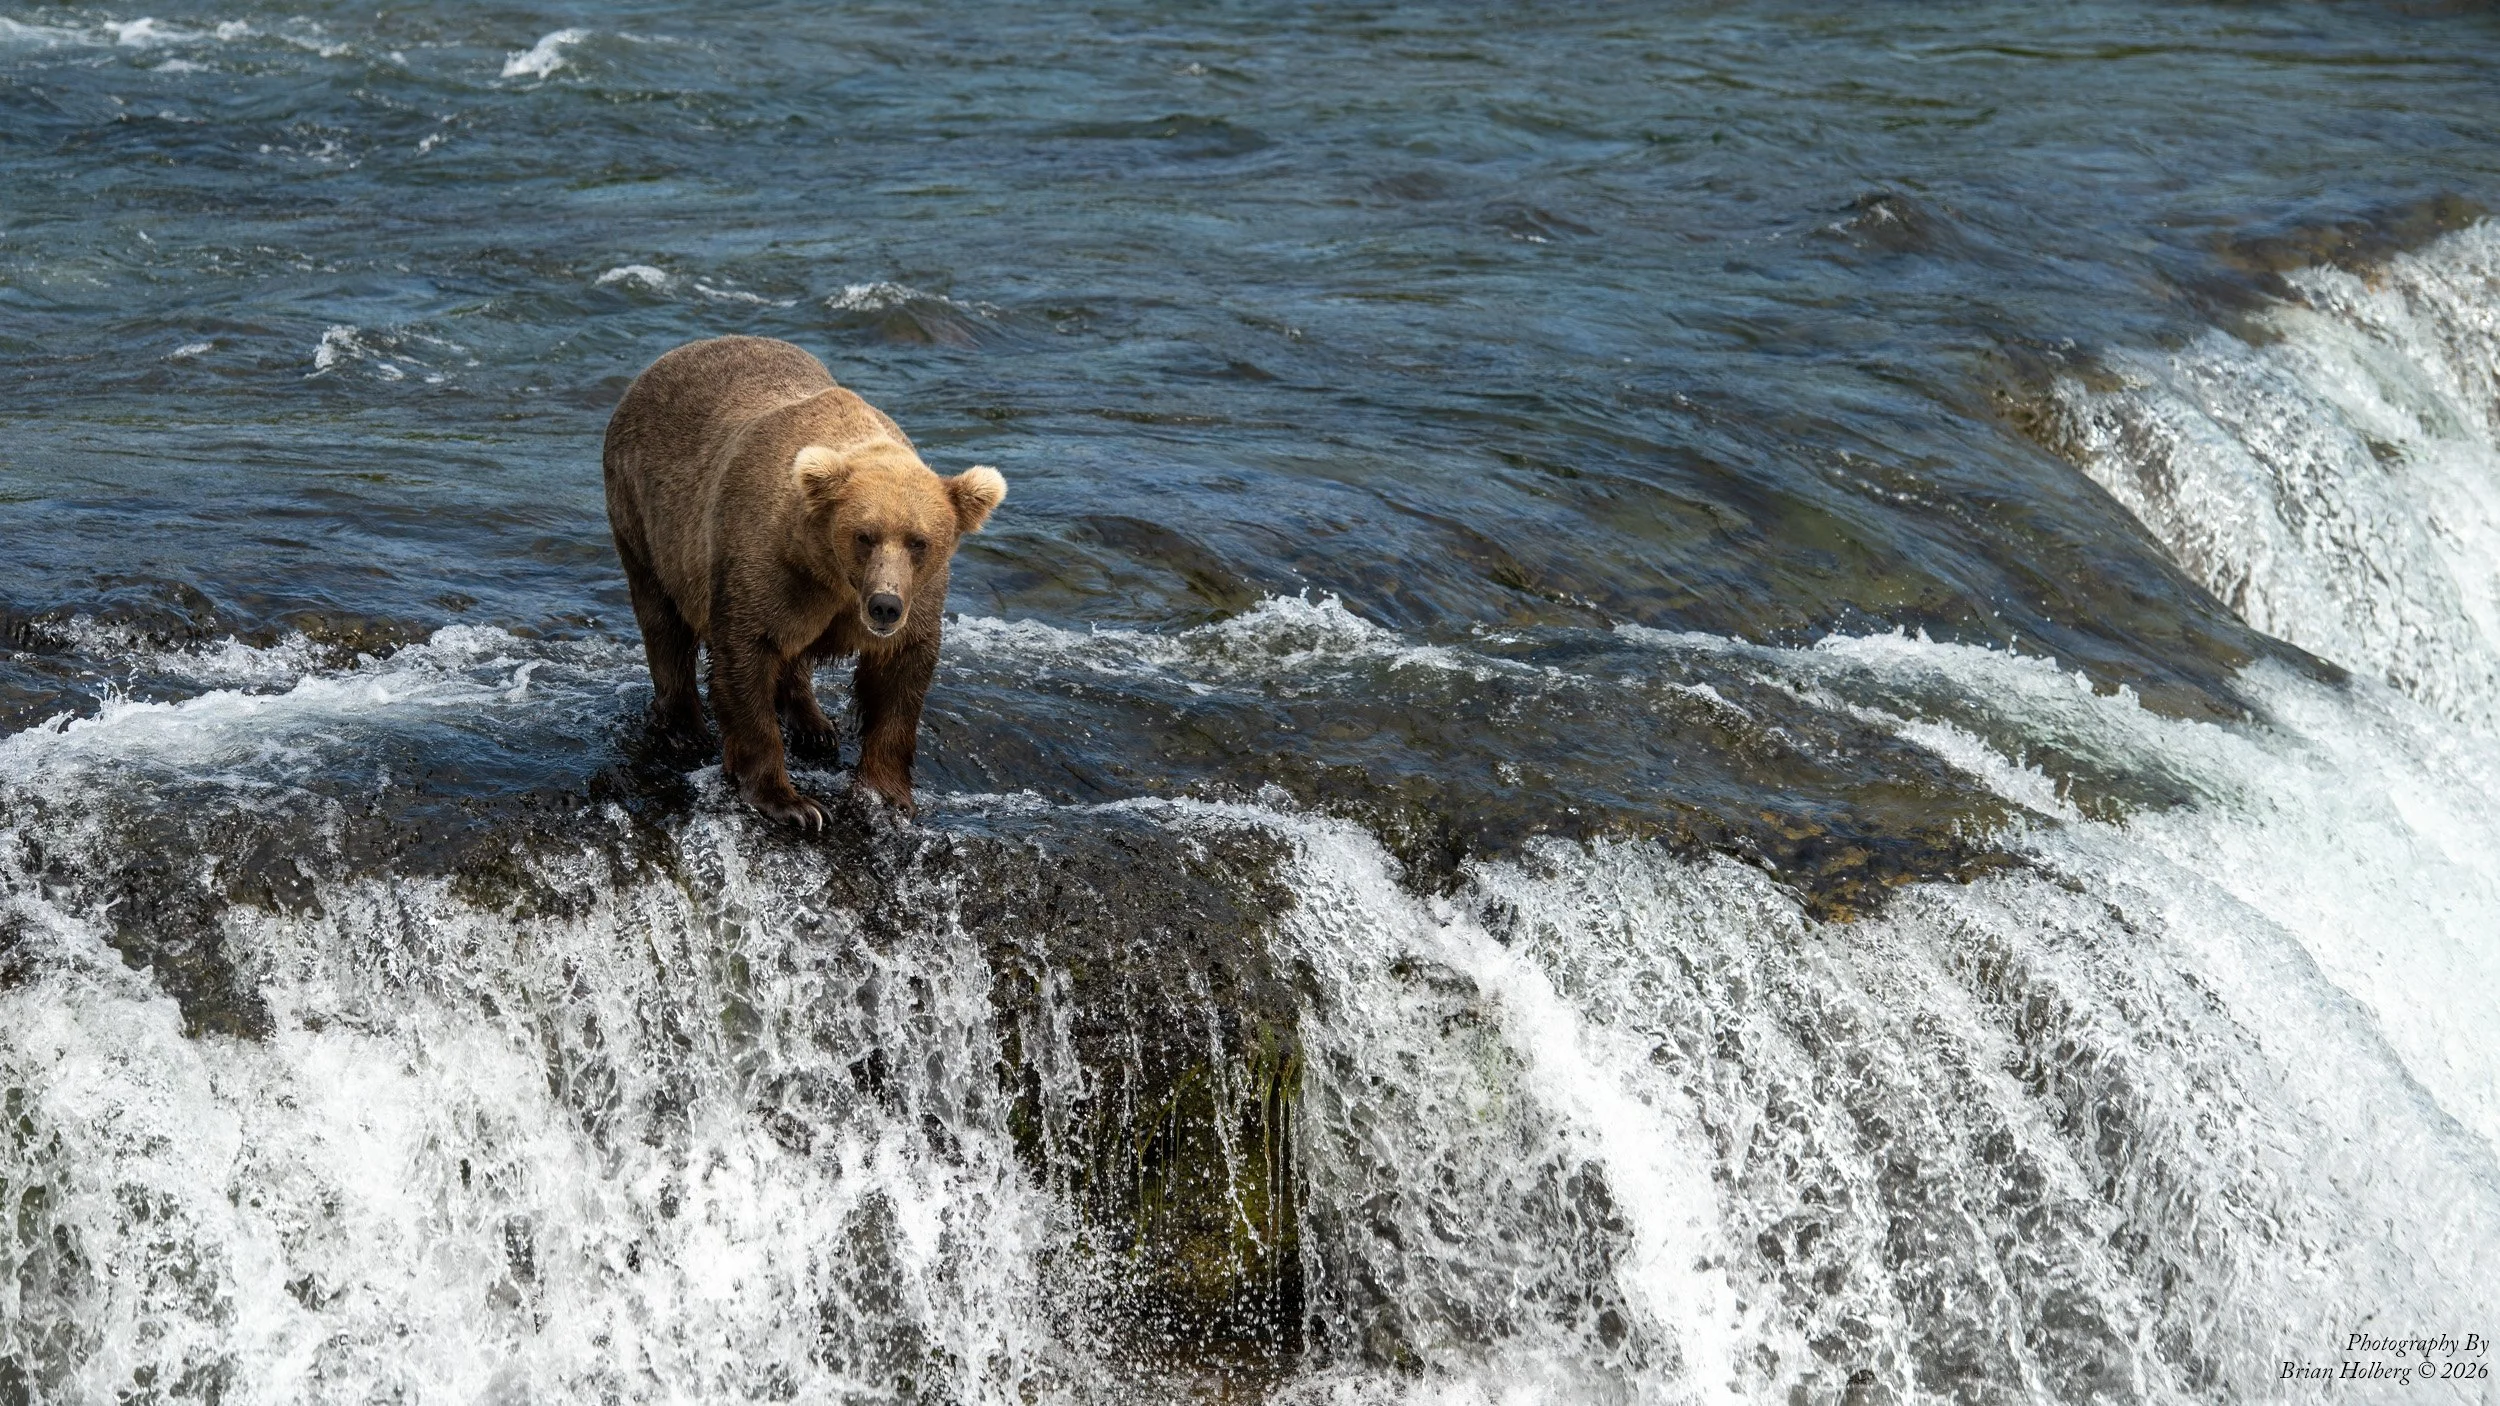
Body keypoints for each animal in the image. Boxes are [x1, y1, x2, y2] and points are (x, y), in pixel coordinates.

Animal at [601, 335, 1005, 827]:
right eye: (864, 535)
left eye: (918, 541)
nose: (884, 605)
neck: (831, 574)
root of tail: (670, 357)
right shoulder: (766, 565)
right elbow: (745, 660)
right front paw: (792, 803)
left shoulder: (914, 597)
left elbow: (900, 677)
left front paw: (888, 795)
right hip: (644, 515)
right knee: (662, 618)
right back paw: (683, 727)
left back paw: (814, 725)